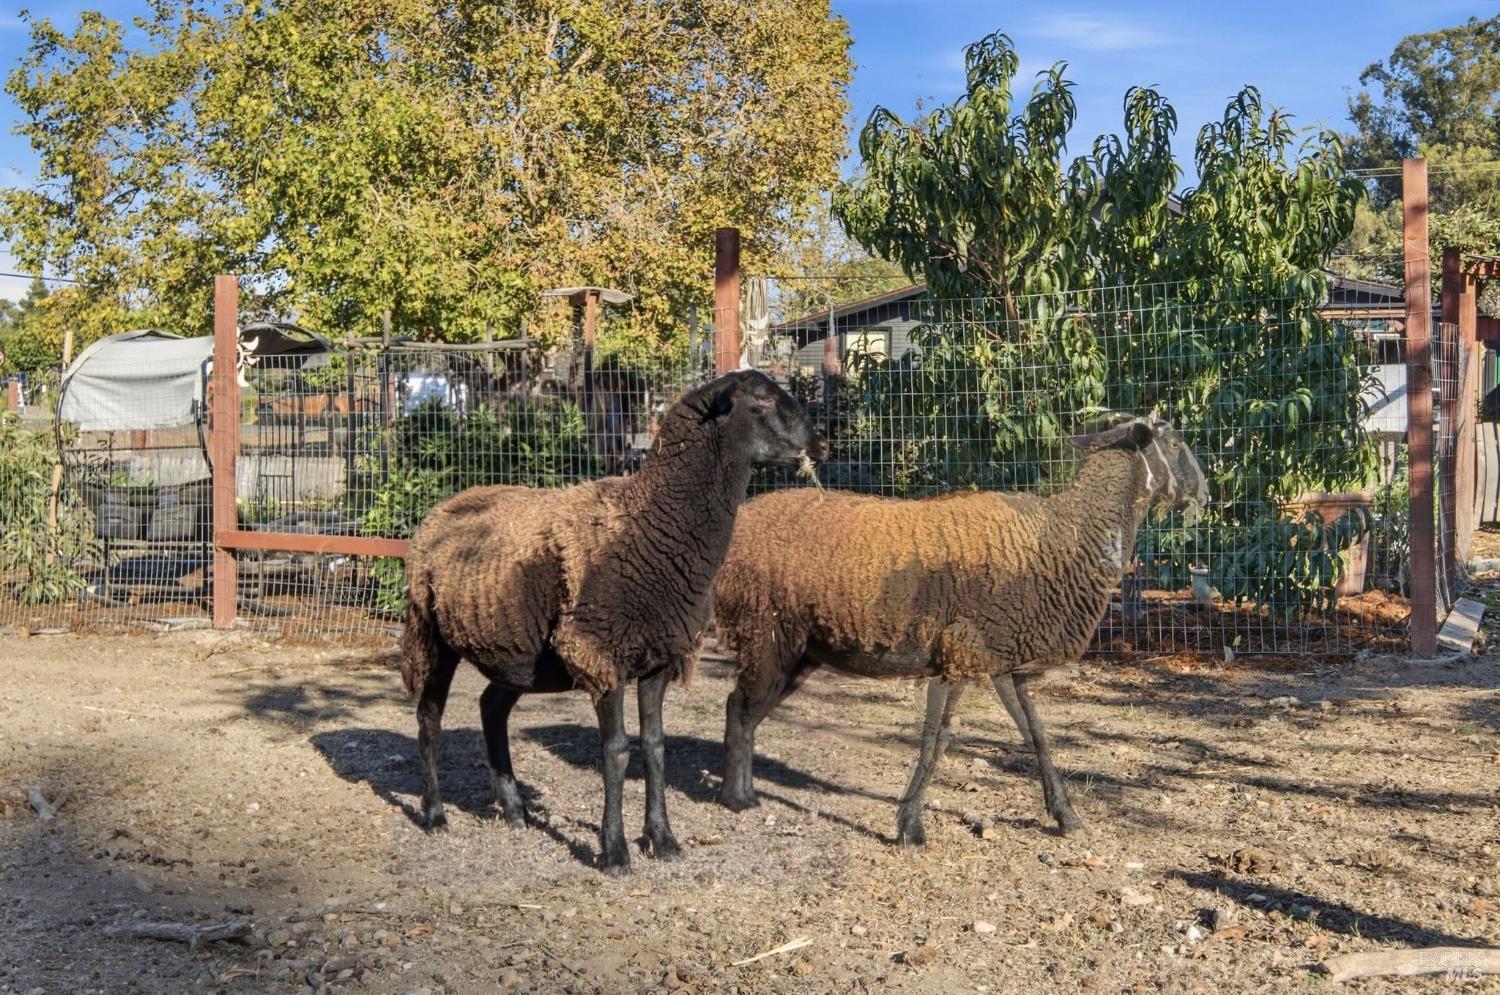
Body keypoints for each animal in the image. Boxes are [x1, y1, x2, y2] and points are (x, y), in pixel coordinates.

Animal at [400, 369, 822, 875]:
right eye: (760, 400)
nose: (820, 442)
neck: (653, 523)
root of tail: (447, 506)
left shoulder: (659, 658)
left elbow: (655, 748)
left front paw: (663, 839)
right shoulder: (601, 653)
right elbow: (617, 751)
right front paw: (615, 850)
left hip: (519, 656)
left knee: (490, 708)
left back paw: (516, 810)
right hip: (431, 634)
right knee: (429, 718)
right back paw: (435, 814)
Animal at [710, 416, 1208, 845]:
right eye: (1175, 443)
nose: (1206, 495)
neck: (1066, 536)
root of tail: (743, 521)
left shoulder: (999, 656)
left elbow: (1035, 733)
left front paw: (1067, 817)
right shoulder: (960, 654)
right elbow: (938, 739)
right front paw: (910, 827)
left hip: (801, 649)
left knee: (745, 711)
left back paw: (740, 791)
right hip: (766, 633)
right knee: (741, 708)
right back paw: (737, 799)